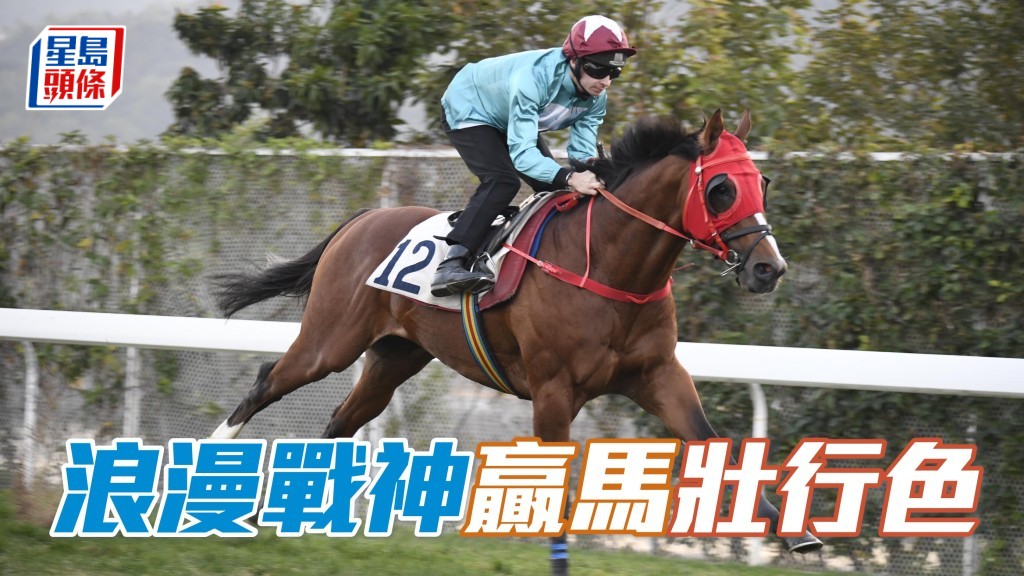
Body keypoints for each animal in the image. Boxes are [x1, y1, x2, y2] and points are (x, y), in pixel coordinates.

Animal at [210, 109, 823, 568]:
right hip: (330, 342)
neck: (609, 266)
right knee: (265, 383)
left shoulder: (658, 376)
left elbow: (716, 444)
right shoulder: (553, 391)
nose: (769, 268)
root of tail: (360, 221)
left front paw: (799, 534)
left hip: (394, 358)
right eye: (721, 189)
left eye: (762, 183)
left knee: (341, 420)